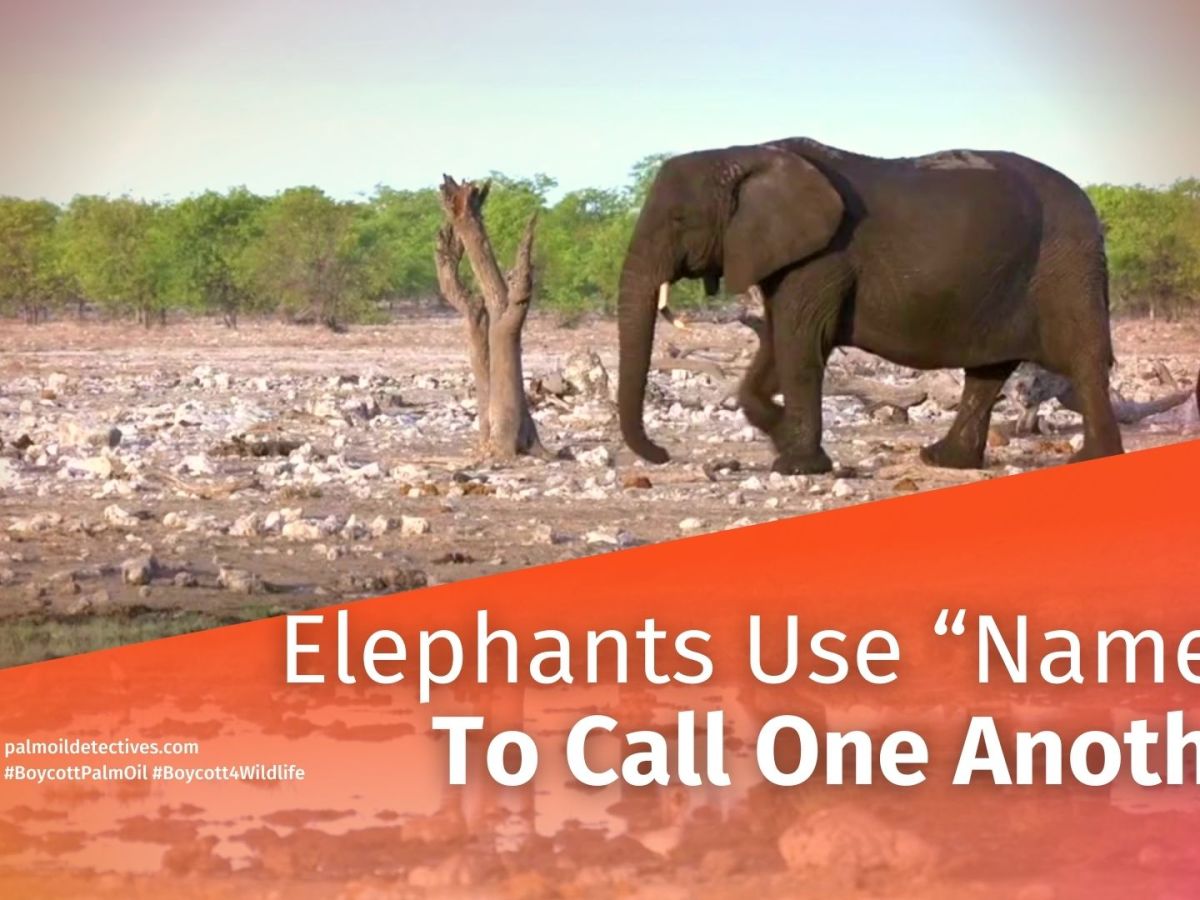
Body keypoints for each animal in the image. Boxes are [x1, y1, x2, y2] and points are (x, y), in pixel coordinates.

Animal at [617, 138, 1125, 473]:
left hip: (1068, 263)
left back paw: (1093, 459)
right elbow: (778, 340)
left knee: (1083, 359)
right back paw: (944, 460)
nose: (663, 454)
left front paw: (797, 464)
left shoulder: (825, 255)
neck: (745, 152)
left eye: (679, 219)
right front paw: (781, 435)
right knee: (987, 373)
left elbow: (801, 344)